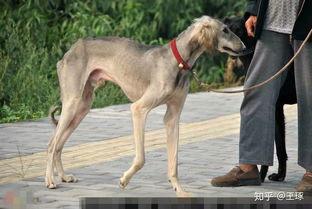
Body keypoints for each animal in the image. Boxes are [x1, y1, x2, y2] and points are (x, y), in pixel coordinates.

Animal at [47, 15, 246, 196]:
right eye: (225, 30)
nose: (244, 47)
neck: (177, 61)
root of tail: (73, 48)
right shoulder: (139, 109)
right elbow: (141, 158)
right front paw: (124, 180)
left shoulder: (173, 116)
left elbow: (174, 161)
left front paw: (179, 190)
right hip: (72, 102)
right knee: (51, 144)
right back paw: (50, 180)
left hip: (83, 106)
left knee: (59, 144)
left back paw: (63, 176)